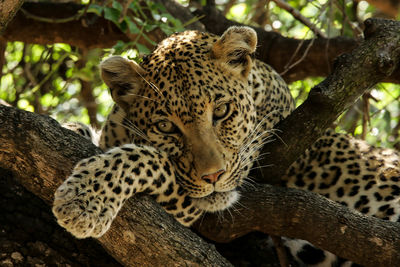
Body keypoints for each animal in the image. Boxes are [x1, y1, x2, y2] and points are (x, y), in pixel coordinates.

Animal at [52, 26, 400, 266]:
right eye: (165, 127)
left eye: (221, 111)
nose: (213, 177)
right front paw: (71, 129)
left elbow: (146, 159)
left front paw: (84, 199)